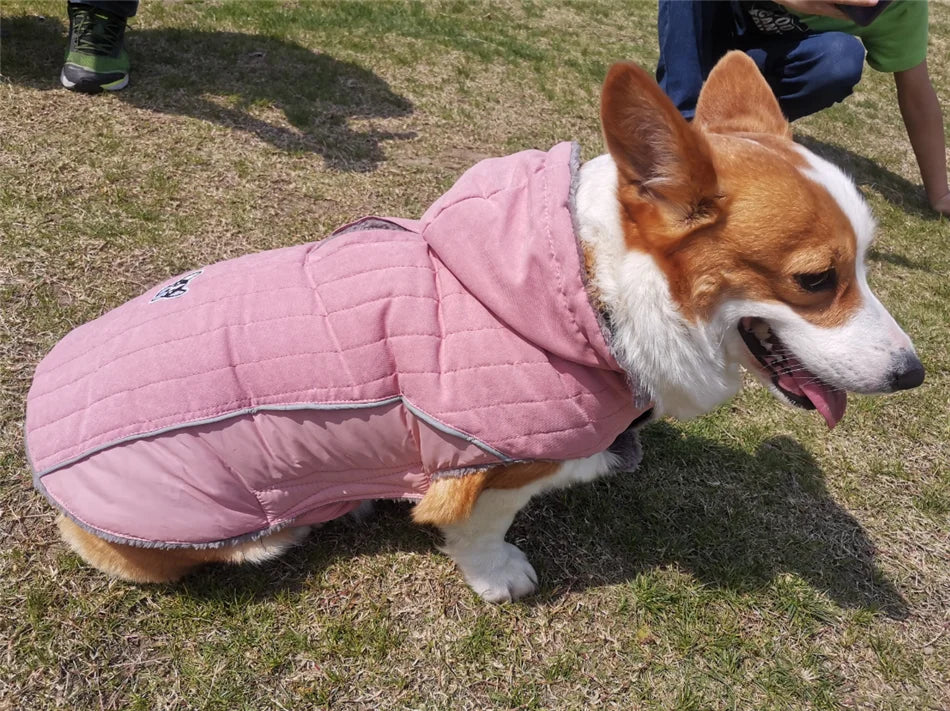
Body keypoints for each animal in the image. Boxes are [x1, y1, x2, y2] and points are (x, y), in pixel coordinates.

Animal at [26, 52, 924, 604]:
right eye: (816, 280)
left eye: (867, 260)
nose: (914, 373)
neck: (596, 293)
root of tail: (39, 443)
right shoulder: (498, 465)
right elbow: (483, 526)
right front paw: (502, 577)